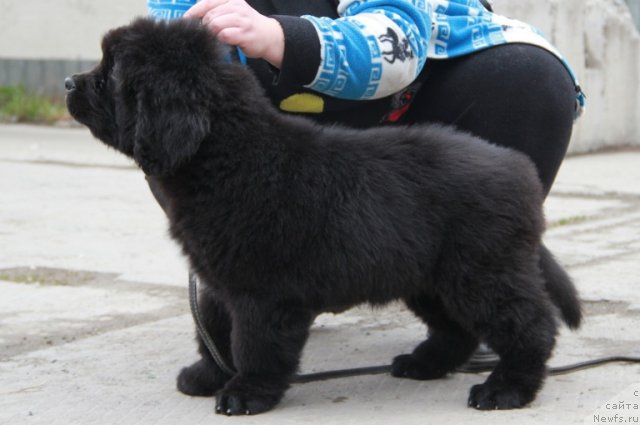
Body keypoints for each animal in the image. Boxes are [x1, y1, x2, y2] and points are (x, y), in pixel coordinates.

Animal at [67, 18, 584, 416]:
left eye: (109, 75)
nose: (69, 83)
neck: (226, 156)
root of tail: (518, 169)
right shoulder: (218, 280)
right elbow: (212, 329)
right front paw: (206, 374)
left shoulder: (262, 291)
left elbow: (252, 343)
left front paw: (246, 394)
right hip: (428, 278)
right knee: (457, 329)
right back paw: (424, 364)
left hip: (480, 272)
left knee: (529, 325)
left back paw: (507, 388)